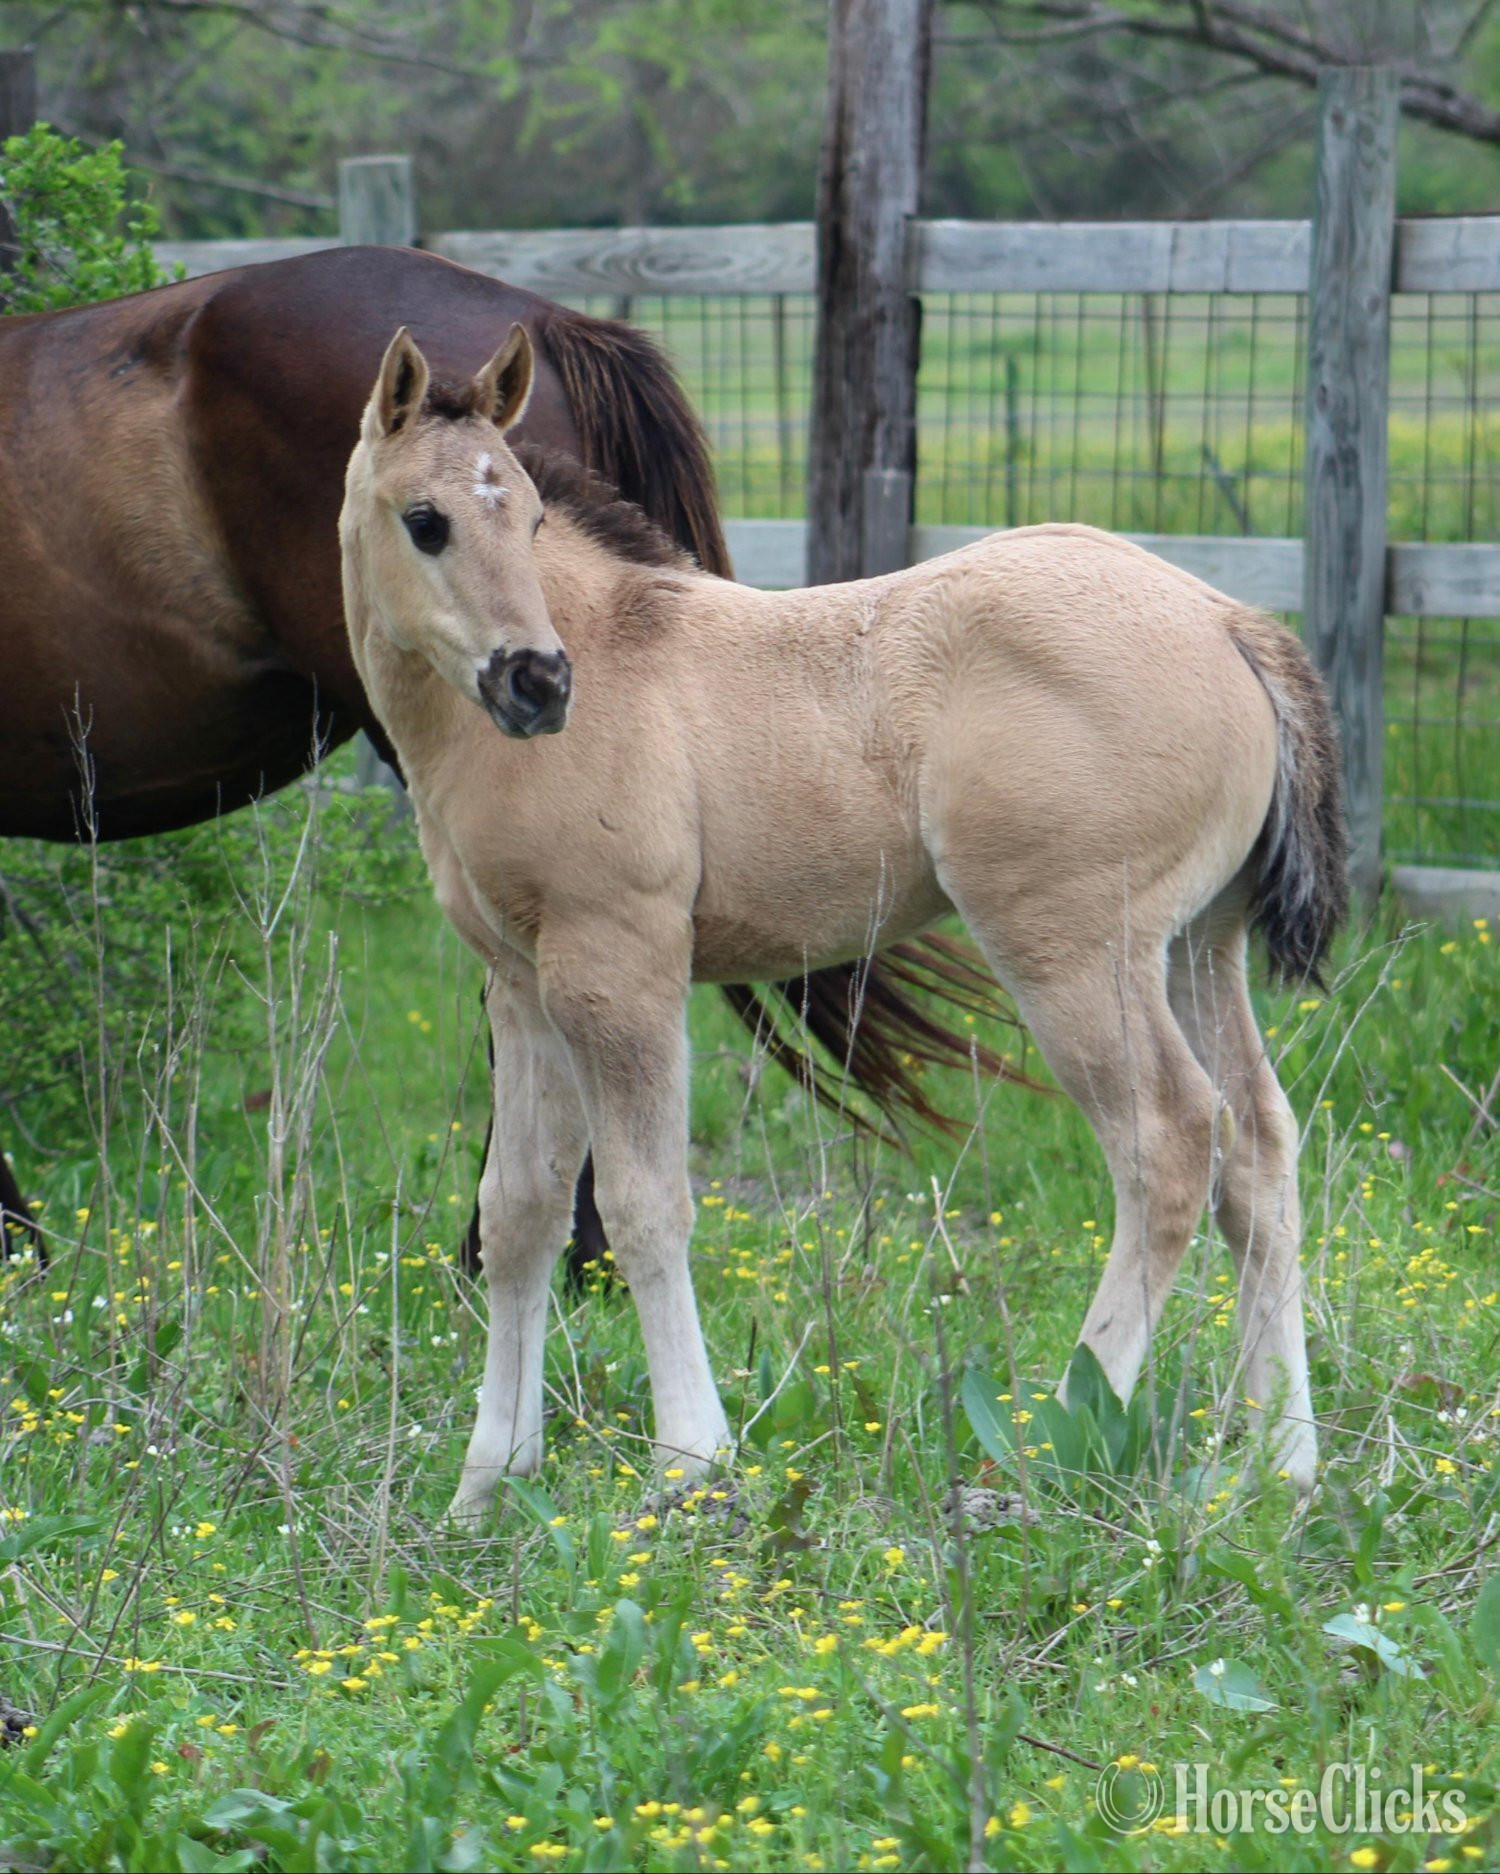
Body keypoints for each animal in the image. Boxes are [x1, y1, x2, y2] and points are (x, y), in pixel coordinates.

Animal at [339, 326, 1348, 1522]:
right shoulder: (523, 979)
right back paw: (1281, 1463)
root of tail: (1228, 619)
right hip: (1195, 947)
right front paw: (488, 1481)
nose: (538, 682)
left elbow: (643, 1203)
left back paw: (1048, 1445)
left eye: (535, 518)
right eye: (427, 519)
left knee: (1173, 1138)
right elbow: (520, 1214)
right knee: (1262, 1148)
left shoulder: (617, 963)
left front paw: (691, 1460)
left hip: (1071, 947)